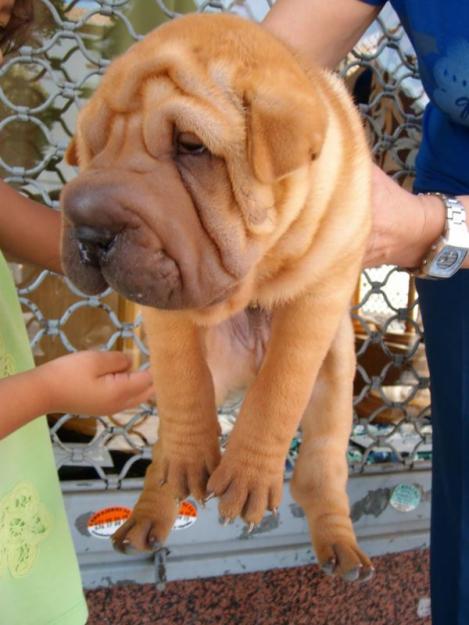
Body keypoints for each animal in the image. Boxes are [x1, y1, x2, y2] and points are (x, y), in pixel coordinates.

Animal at [59, 13, 372, 580]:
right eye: (94, 146)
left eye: (191, 146)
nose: (89, 230)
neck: (254, 276)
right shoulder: (165, 294)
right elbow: (182, 376)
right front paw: (189, 463)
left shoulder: (322, 293)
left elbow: (281, 386)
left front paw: (248, 477)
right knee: (170, 447)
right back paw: (149, 514)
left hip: (335, 379)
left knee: (320, 468)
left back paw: (341, 546)